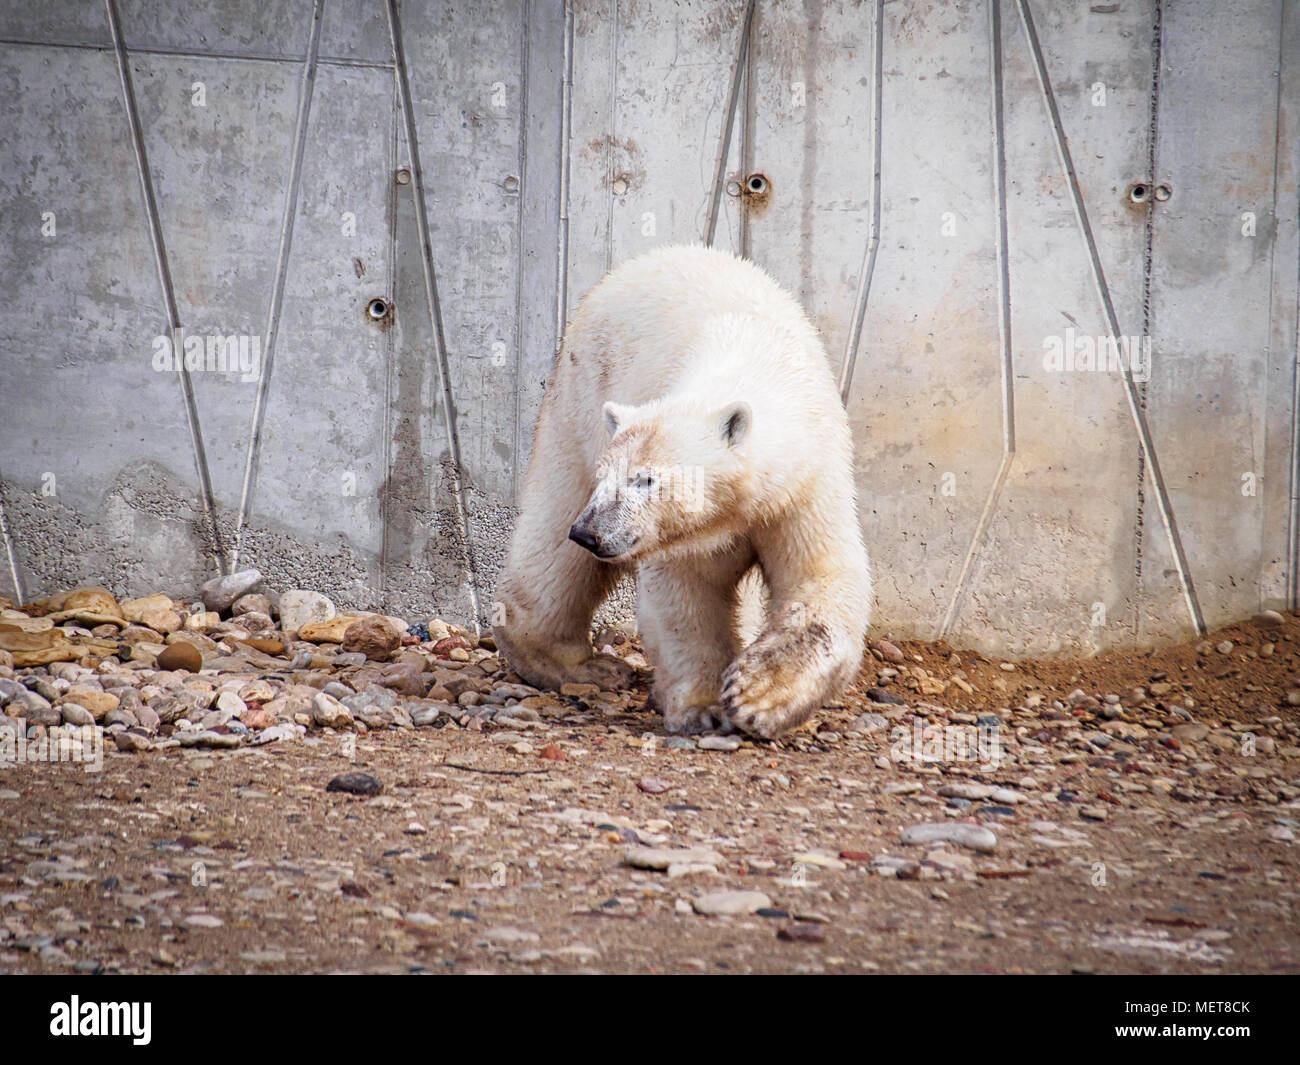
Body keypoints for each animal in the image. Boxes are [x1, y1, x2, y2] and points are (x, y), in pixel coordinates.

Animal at [491, 243, 868, 743]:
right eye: (609, 475)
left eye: (646, 479)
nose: (590, 533)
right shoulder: (681, 531)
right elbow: (684, 597)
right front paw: (703, 708)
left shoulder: (804, 486)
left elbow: (820, 578)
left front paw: (757, 695)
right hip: (576, 402)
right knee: (555, 534)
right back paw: (587, 667)